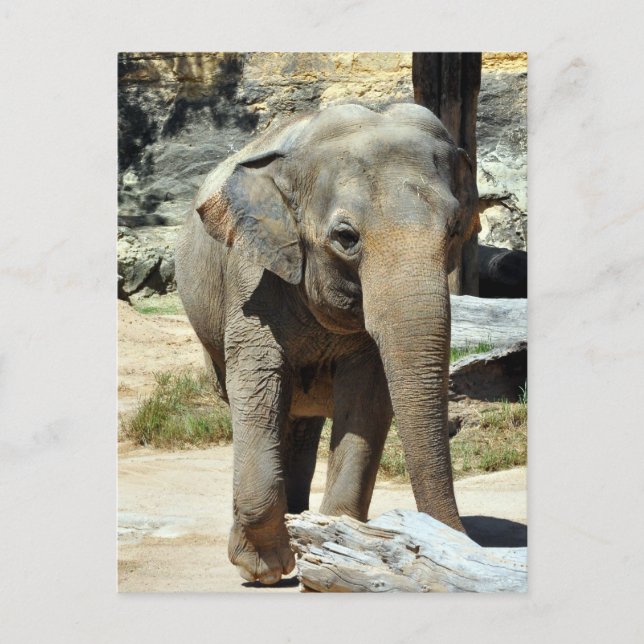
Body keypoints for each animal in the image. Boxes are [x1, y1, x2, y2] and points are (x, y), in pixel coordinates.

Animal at [175, 102, 480, 585]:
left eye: (454, 230)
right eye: (346, 237)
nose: (460, 538)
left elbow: (367, 397)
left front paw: (336, 547)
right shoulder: (251, 272)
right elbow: (258, 382)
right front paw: (265, 568)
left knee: (300, 423)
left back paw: (302, 523)